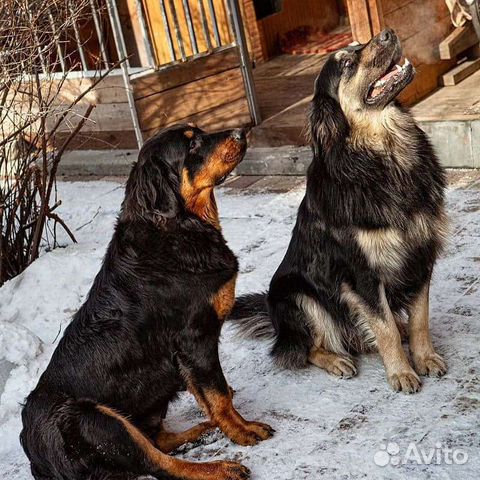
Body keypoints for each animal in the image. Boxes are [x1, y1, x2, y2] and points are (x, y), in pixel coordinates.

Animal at [231, 29, 448, 394]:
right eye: (347, 63)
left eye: (360, 45)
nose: (388, 32)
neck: (383, 155)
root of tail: (276, 322)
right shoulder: (361, 274)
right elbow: (384, 328)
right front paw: (401, 372)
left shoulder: (421, 253)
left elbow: (419, 318)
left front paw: (425, 357)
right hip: (298, 296)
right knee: (305, 349)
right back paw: (336, 360)